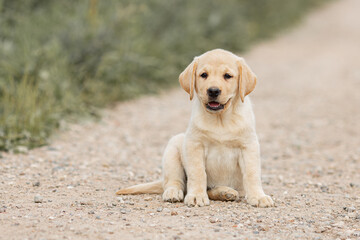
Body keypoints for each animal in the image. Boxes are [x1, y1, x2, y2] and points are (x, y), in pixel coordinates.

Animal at [116, 48, 274, 206]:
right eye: (204, 75)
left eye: (228, 76)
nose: (213, 91)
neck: (220, 120)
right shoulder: (195, 145)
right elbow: (198, 173)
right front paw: (197, 195)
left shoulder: (248, 146)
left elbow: (252, 174)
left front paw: (258, 196)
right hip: (173, 149)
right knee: (174, 181)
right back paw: (173, 192)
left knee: (211, 190)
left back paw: (224, 192)